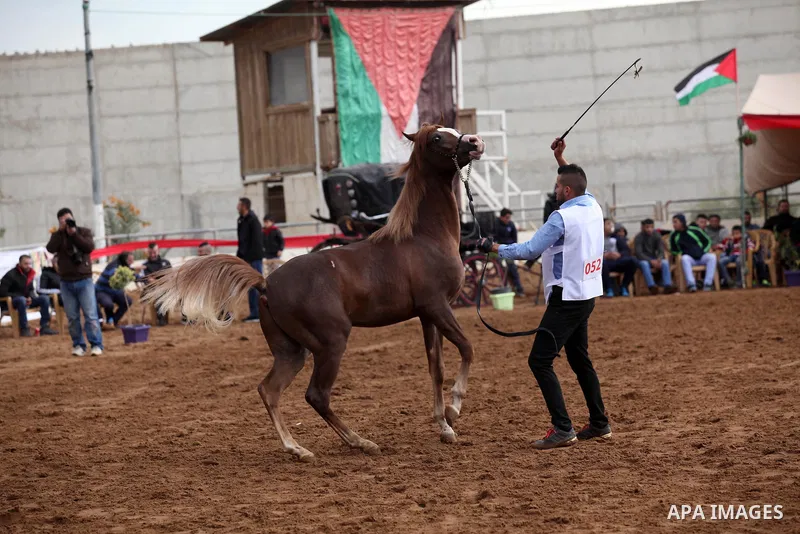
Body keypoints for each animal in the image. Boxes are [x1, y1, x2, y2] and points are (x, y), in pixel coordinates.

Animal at [142, 124, 485, 461]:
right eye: (438, 137)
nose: (475, 142)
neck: (423, 237)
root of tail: (266, 283)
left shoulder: (427, 315)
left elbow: (436, 369)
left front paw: (445, 428)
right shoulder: (438, 307)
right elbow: (468, 348)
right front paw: (454, 408)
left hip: (292, 351)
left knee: (269, 390)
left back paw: (297, 449)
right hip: (330, 344)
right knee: (316, 396)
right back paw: (361, 442)